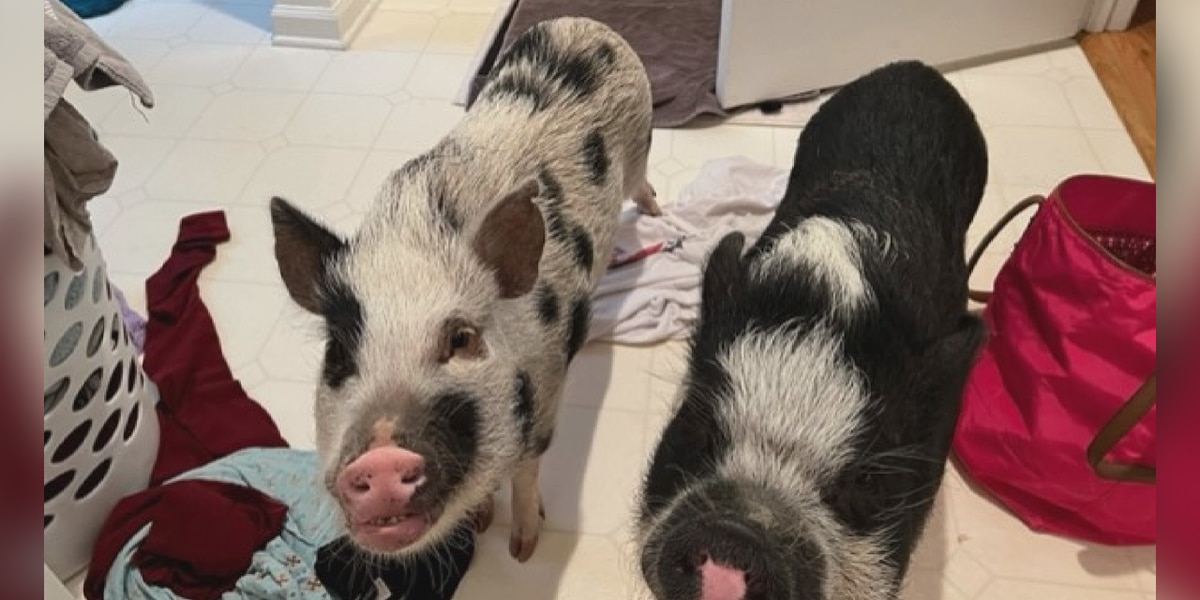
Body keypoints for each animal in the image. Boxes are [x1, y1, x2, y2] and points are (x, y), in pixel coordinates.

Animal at [268, 17, 659, 563]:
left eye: (461, 339)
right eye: (337, 353)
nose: (380, 458)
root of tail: (584, 23)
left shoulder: (547, 394)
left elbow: (527, 471)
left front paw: (522, 550)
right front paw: (480, 523)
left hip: (643, 137)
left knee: (643, 179)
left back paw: (656, 211)